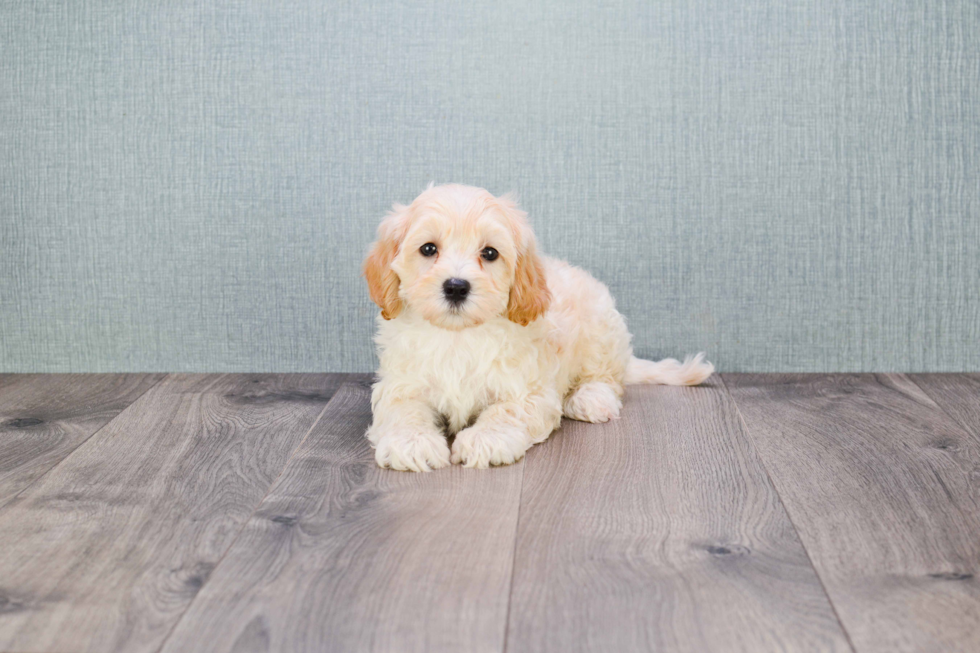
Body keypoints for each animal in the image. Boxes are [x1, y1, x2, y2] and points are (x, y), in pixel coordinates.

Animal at [362, 182, 712, 468]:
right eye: (428, 249)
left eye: (490, 253)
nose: (456, 287)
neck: (459, 336)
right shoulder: (401, 385)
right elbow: (403, 411)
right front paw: (412, 443)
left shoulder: (529, 390)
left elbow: (506, 411)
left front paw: (486, 439)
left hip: (602, 329)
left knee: (606, 378)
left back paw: (591, 398)